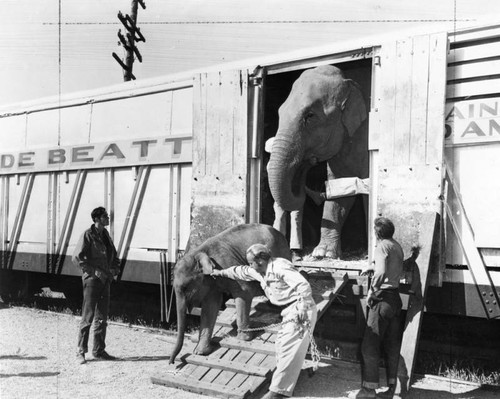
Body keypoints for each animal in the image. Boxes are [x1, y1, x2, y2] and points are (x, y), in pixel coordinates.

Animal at [169, 223, 292, 364]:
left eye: (185, 287)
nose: (172, 362)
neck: (200, 252)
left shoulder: (227, 264)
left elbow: (244, 292)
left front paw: (244, 339)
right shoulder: (211, 283)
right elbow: (210, 306)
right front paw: (200, 352)